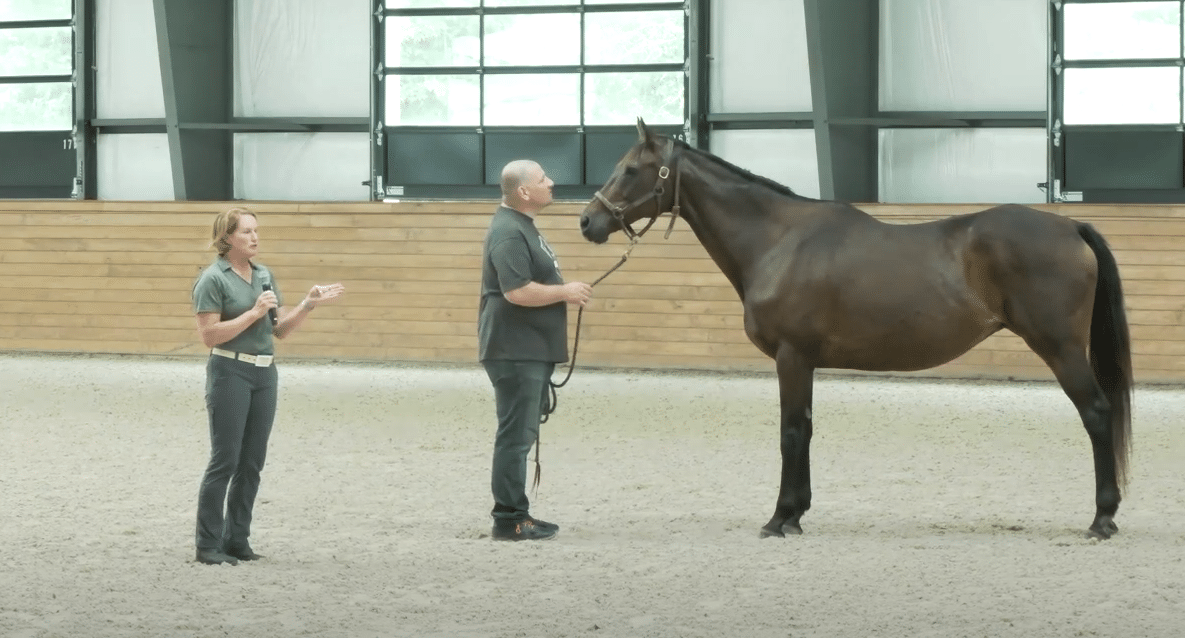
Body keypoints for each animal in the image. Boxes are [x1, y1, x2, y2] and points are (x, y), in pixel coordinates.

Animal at [578, 117, 1132, 536]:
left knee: (1097, 413)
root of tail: (1070, 226)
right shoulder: (804, 362)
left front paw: (779, 519)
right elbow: (806, 429)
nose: (587, 222)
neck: (778, 240)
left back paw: (1102, 518)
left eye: (630, 169)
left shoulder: (792, 356)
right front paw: (796, 513)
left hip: (1060, 348)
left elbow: (790, 432)